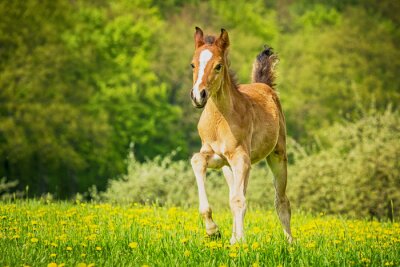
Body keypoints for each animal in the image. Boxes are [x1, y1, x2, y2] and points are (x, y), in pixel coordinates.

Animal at [189, 27, 292, 245]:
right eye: (193, 64)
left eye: (218, 66)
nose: (198, 96)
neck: (219, 120)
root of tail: (264, 86)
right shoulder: (218, 157)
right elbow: (197, 161)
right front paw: (213, 230)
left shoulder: (240, 158)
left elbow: (238, 200)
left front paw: (239, 241)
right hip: (230, 168)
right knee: (237, 192)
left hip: (277, 155)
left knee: (281, 201)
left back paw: (290, 243)